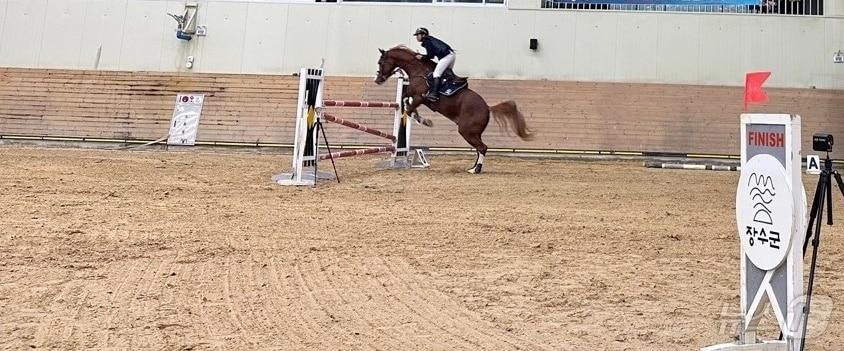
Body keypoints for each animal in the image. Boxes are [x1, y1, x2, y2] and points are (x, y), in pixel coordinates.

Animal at [376, 45, 536, 175]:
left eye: (381, 62)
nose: (377, 80)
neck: (419, 70)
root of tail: (487, 108)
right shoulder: (413, 95)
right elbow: (405, 101)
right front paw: (420, 119)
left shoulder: (419, 97)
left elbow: (409, 109)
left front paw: (423, 120)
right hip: (474, 133)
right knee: (479, 148)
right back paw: (473, 167)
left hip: (466, 131)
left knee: (482, 148)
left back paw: (475, 170)